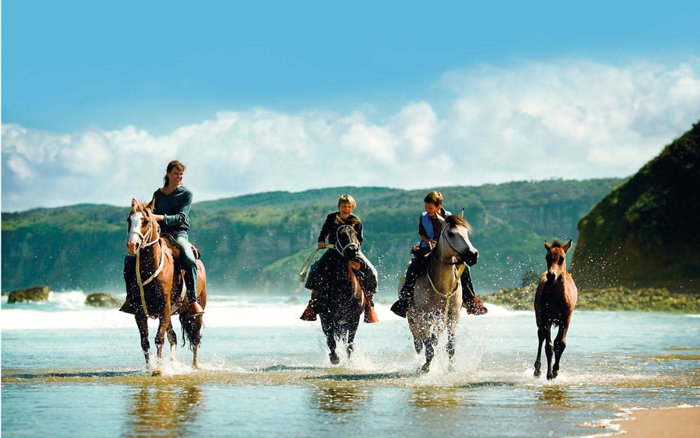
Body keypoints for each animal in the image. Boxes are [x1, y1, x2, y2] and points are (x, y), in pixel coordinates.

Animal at [123, 197, 206, 374]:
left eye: (145, 221)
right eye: (129, 219)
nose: (132, 245)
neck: (149, 268)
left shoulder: (165, 309)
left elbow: (158, 338)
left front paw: (158, 370)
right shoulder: (139, 312)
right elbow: (145, 342)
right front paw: (150, 368)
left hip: (197, 311)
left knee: (195, 338)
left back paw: (195, 367)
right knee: (173, 337)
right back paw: (173, 364)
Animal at [408, 214, 478, 372]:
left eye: (466, 232)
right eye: (451, 233)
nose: (473, 255)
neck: (442, 286)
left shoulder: (452, 316)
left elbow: (450, 345)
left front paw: (451, 368)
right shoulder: (423, 317)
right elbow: (428, 346)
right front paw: (426, 367)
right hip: (412, 317)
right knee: (418, 339)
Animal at [532, 240, 576, 380]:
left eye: (562, 258)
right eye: (547, 257)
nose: (551, 275)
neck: (557, 298)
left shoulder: (566, 318)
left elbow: (560, 343)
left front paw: (556, 370)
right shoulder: (546, 317)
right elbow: (549, 346)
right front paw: (549, 374)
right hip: (539, 316)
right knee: (541, 336)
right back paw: (537, 370)